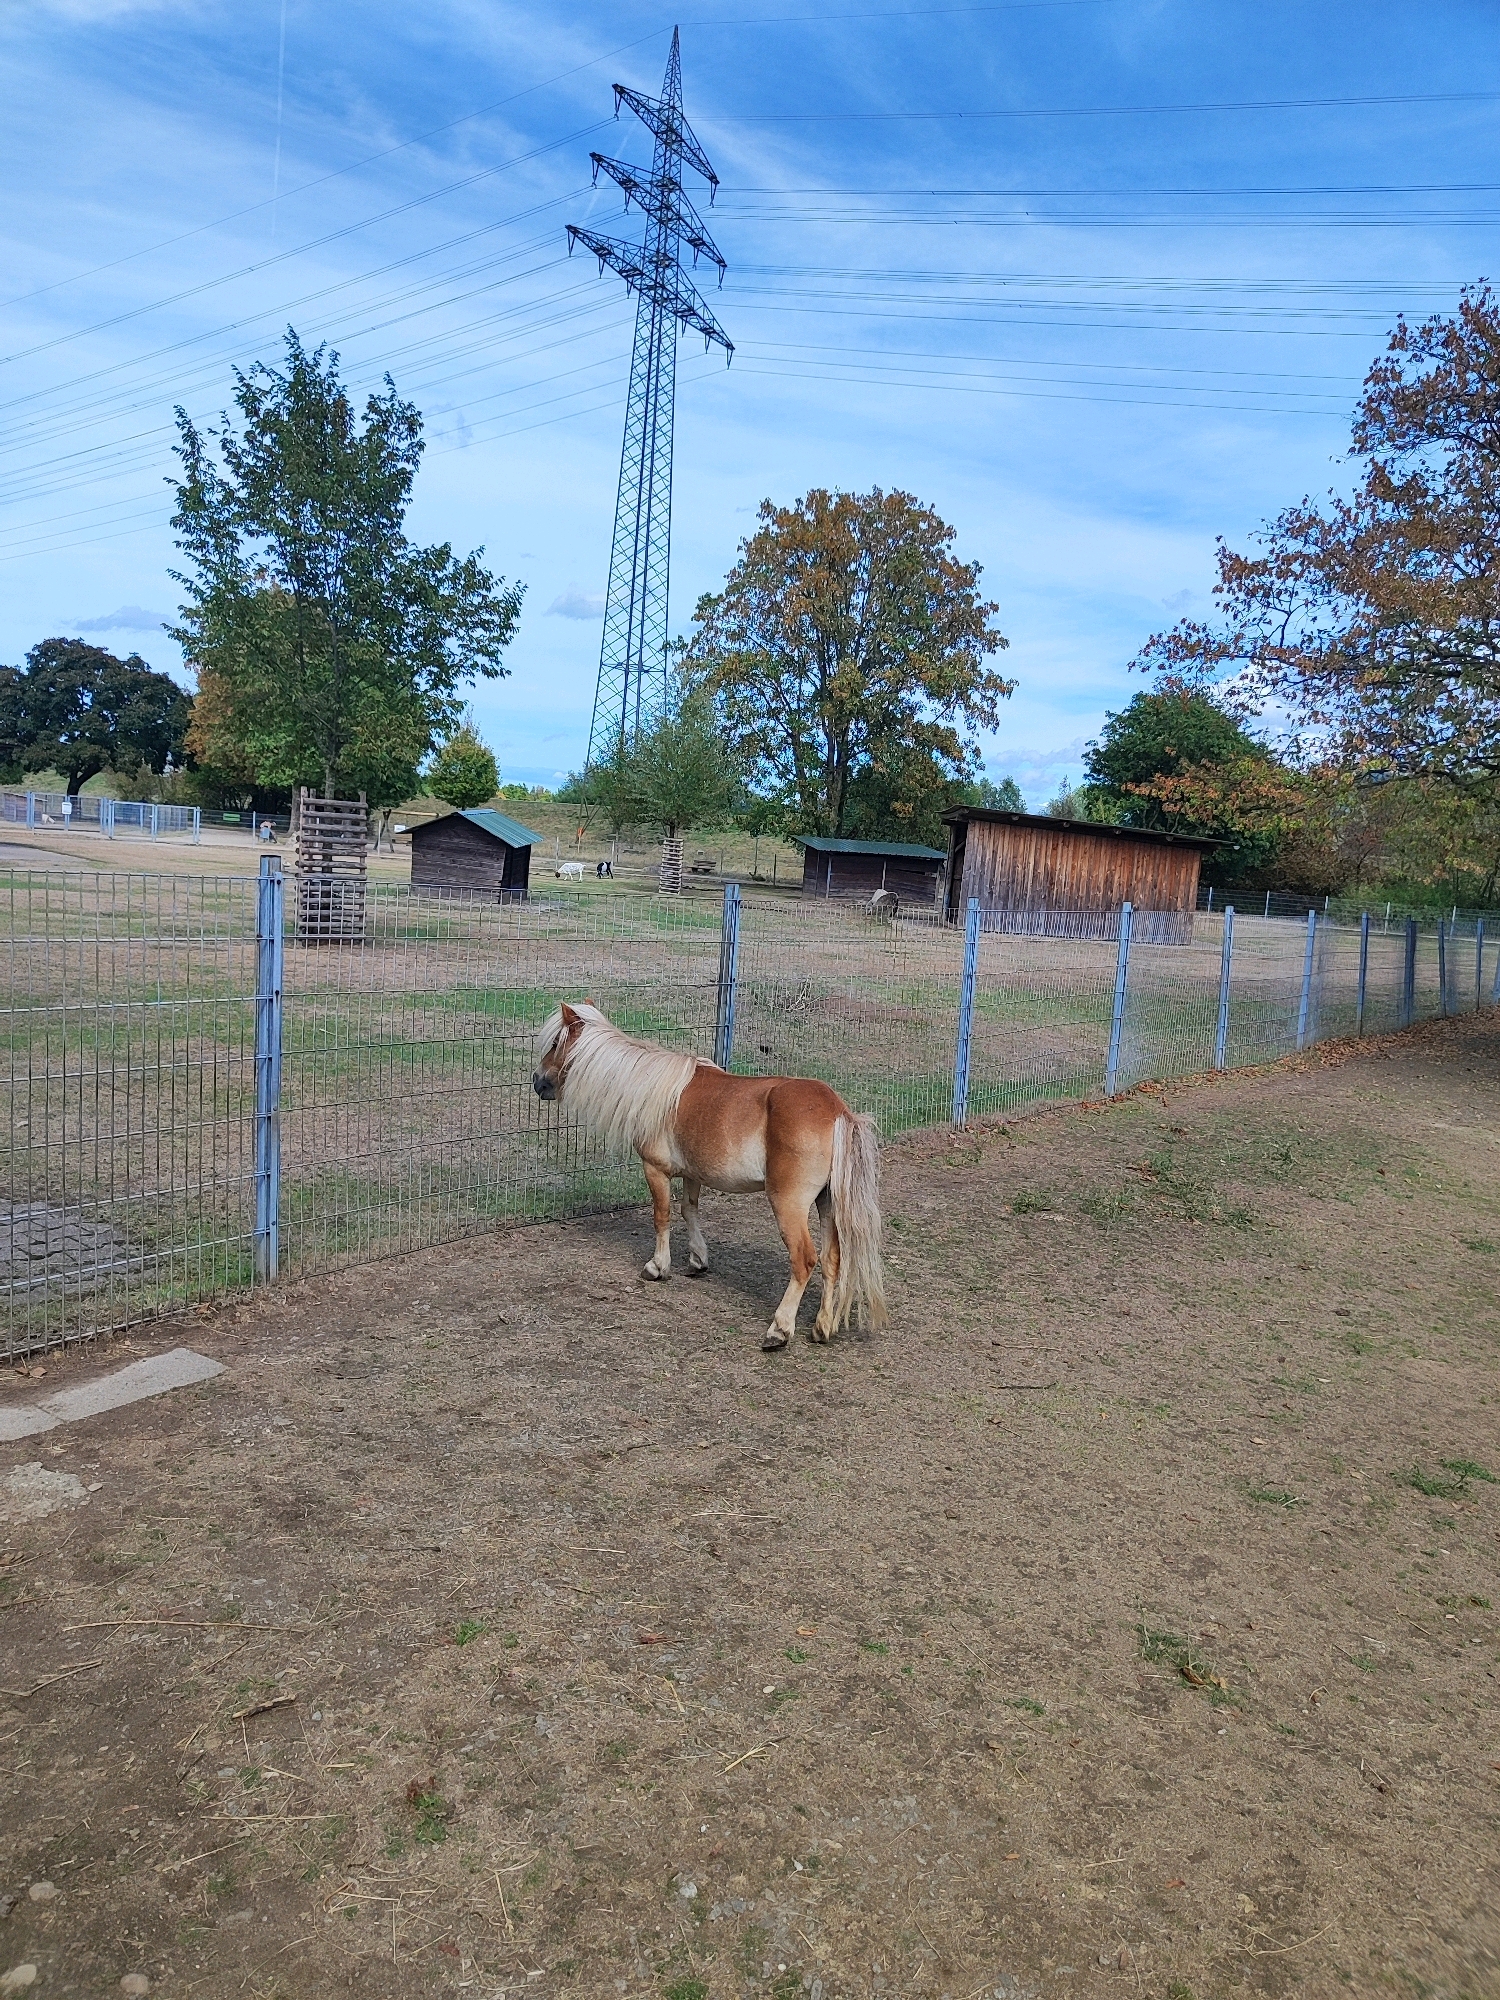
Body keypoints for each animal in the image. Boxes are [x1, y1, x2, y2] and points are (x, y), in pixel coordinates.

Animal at [532, 1003, 886, 1351]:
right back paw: (822, 1328)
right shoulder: (693, 1173)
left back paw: (779, 1330)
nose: (538, 1082)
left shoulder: (655, 1169)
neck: (652, 1088)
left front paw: (657, 1267)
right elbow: (689, 1210)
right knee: (832, 1260)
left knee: (804, 1260)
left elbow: (662, 1216)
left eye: (555, 1043)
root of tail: (838, 1112)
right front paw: (698, 1260)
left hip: (789, 1203)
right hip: (828, 1203)